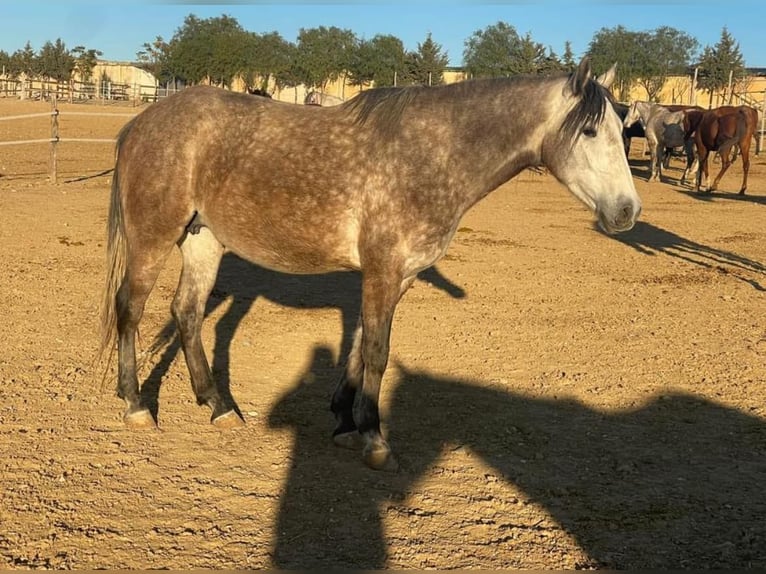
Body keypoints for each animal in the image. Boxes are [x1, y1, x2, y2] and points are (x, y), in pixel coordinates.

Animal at [98, 57, 641, 471]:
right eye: (590, 130)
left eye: (623, 130)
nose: (627, 212)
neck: (432, 155)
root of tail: (141, 123)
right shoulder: (383, 268)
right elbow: (378, 352)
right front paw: (375, 440)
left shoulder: (398, 276)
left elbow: (360, 349)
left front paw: (345, 422)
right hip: (153, 239)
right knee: (130, 309)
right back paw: (135, 406)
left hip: (203, 241)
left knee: (187, 314)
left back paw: (217, 405)